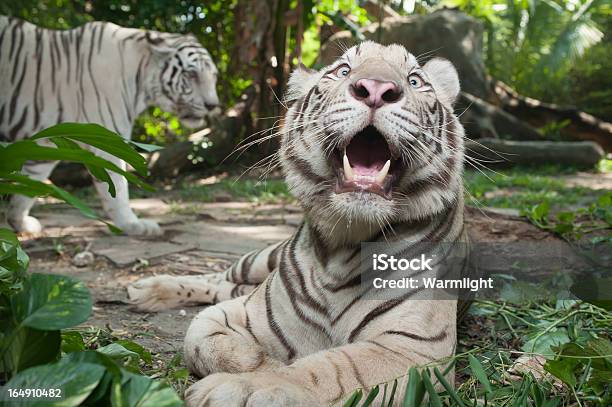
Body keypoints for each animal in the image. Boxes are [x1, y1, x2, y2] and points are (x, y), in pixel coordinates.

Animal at [0, 16, 220, 236]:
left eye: (214, 76)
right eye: (192, 75)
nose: (212, 105)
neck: (141, 78)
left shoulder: (49, 141)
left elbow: (29, 184)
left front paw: (19, 222)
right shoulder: (107, 135)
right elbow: (118, 185)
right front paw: (132, 225)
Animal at [128, 41, 464, 404]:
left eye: (415, 80)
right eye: (343, 70)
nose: (376, 89)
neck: (344, 245)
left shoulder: (415, 348)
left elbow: (332, 369)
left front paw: (249, 385)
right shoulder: (237, 312)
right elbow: (200, 337)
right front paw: (260, 362)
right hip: (259, 259)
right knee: (220, 277)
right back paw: (147, 289)